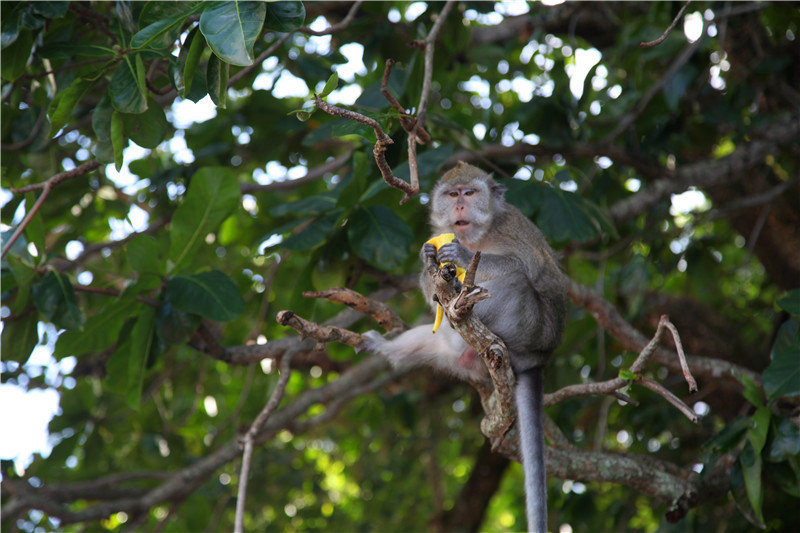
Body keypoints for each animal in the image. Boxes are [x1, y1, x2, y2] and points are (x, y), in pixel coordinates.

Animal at [362, 160, 568, 528]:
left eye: (470, 193)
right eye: (452, 194)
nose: (460, 205)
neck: (480, 233)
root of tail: (540, 358)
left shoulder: (513, 229)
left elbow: (521, 266)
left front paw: (461, 254)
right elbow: (428, 285)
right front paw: (428, 259)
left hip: (526, 331)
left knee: (515, 280)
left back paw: (465, 304)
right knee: (438, 338)